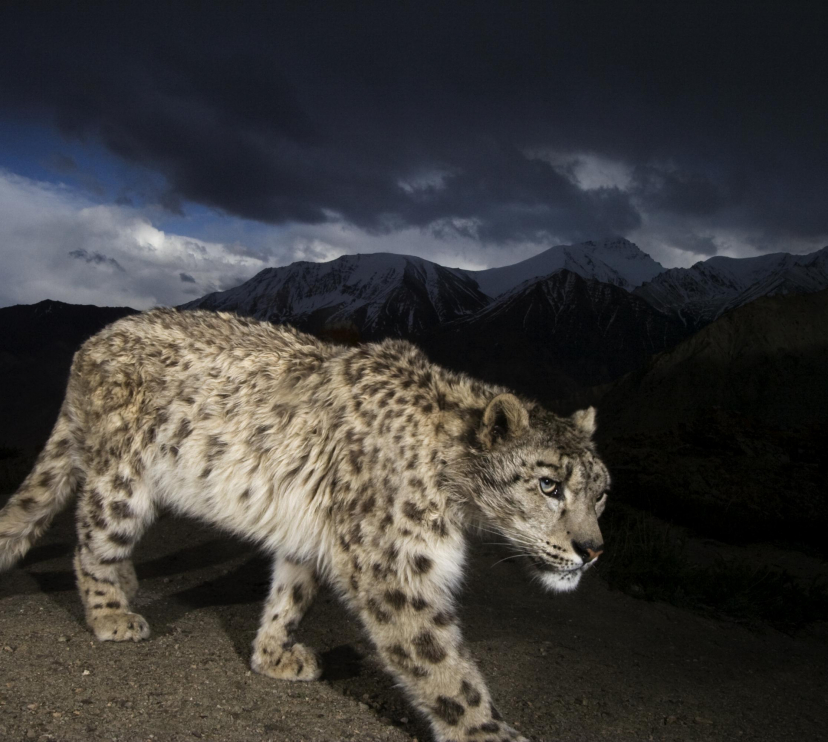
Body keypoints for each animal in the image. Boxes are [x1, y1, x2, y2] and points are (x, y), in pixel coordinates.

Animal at [0, 307, 609, 742]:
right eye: (549, 485)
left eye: (602, 493)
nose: (593, 550)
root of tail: (90, 344)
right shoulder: (392, 566)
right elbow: (443, 665)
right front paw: (488, 731)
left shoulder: (315, 536)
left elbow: (291, 594)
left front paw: (272, 655)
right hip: (122, 485)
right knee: (90, 544)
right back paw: (111, 615)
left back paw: (128, 588)